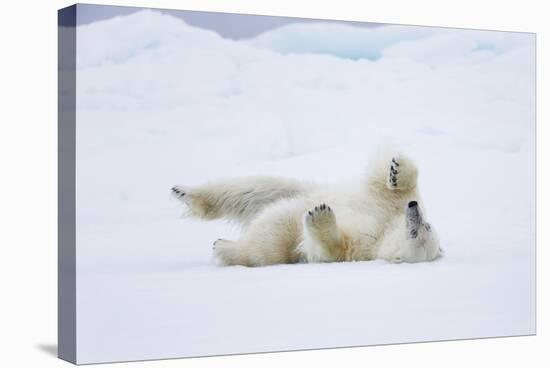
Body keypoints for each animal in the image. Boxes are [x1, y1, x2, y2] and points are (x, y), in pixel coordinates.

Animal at [172, 153, 444, 268]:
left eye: (418, 232)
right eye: (427, 225)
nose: (414, 210)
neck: (385, 231)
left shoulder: (361, 247)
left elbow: (330, 248)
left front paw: (320, 214)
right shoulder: (387, 206)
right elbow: (390, 189)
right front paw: (397, 171)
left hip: (283, 235)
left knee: (267, 241)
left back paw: (224, 246)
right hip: (293, 188)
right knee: (253, 189)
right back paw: (184, 192)